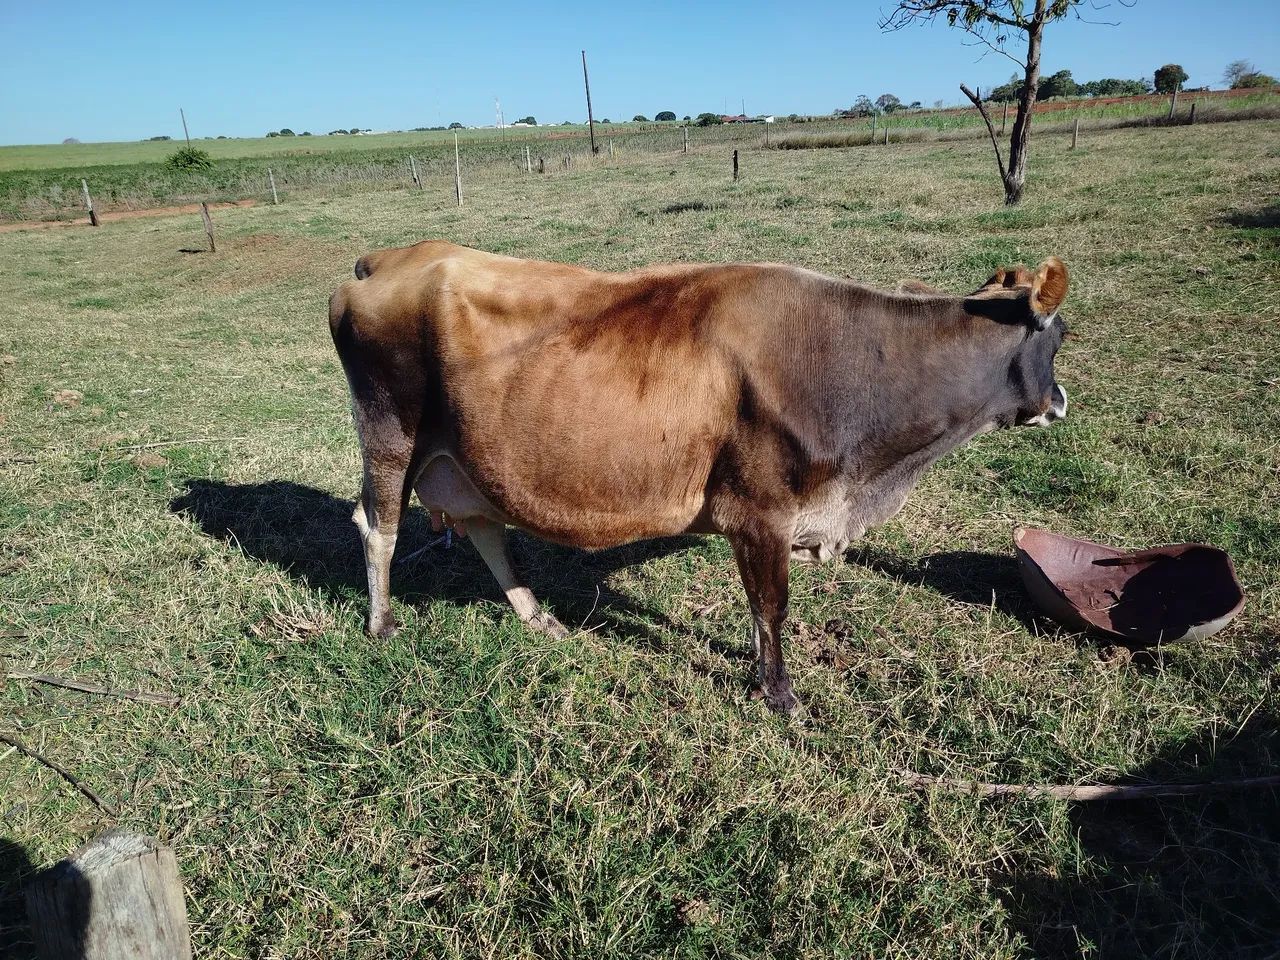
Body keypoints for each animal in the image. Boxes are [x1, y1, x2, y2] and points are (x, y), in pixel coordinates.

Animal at [329, 241, 1069, 713]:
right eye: (1058, 340)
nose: (1059, 402)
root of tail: (387, 260)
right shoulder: (762, 512)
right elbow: (771, 606)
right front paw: (778, 695)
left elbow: (759, 607)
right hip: (390, 432)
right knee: (376, 525)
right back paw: (382, 623)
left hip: (466, 458)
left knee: (484, 527)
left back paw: (537, 617)